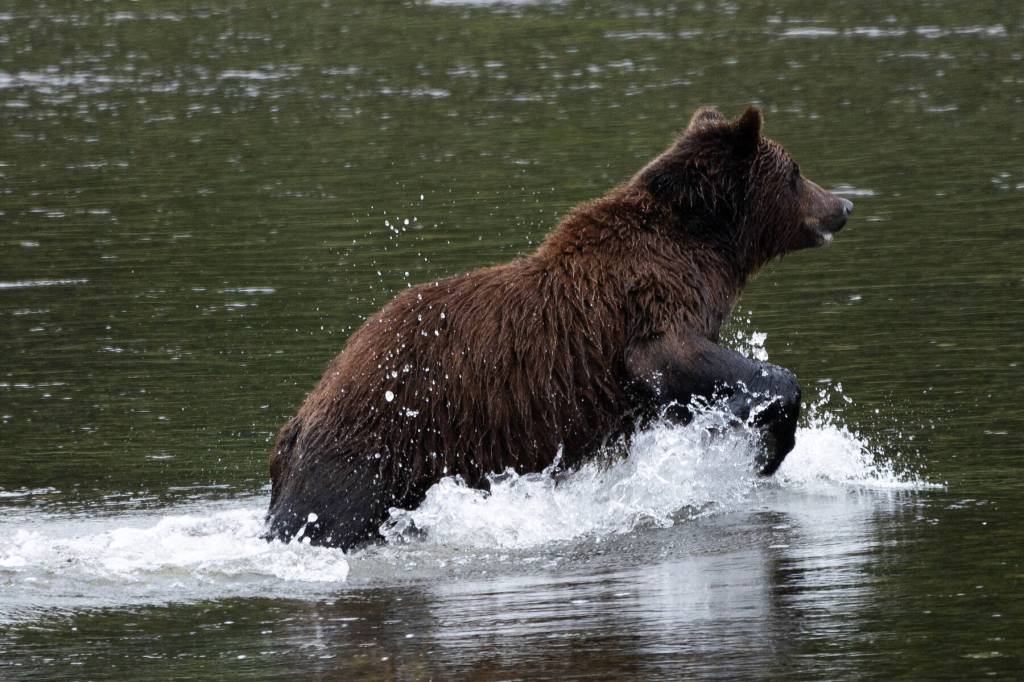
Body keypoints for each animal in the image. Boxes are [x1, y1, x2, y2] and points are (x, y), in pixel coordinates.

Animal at [265, 105, 853, 550]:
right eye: (796, 172)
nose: (844, 204)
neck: (705, 251)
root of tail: (298, 418)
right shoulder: (648, 304)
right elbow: (671, 359)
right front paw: (761, 440)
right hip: (373, 446)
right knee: (324, 518)